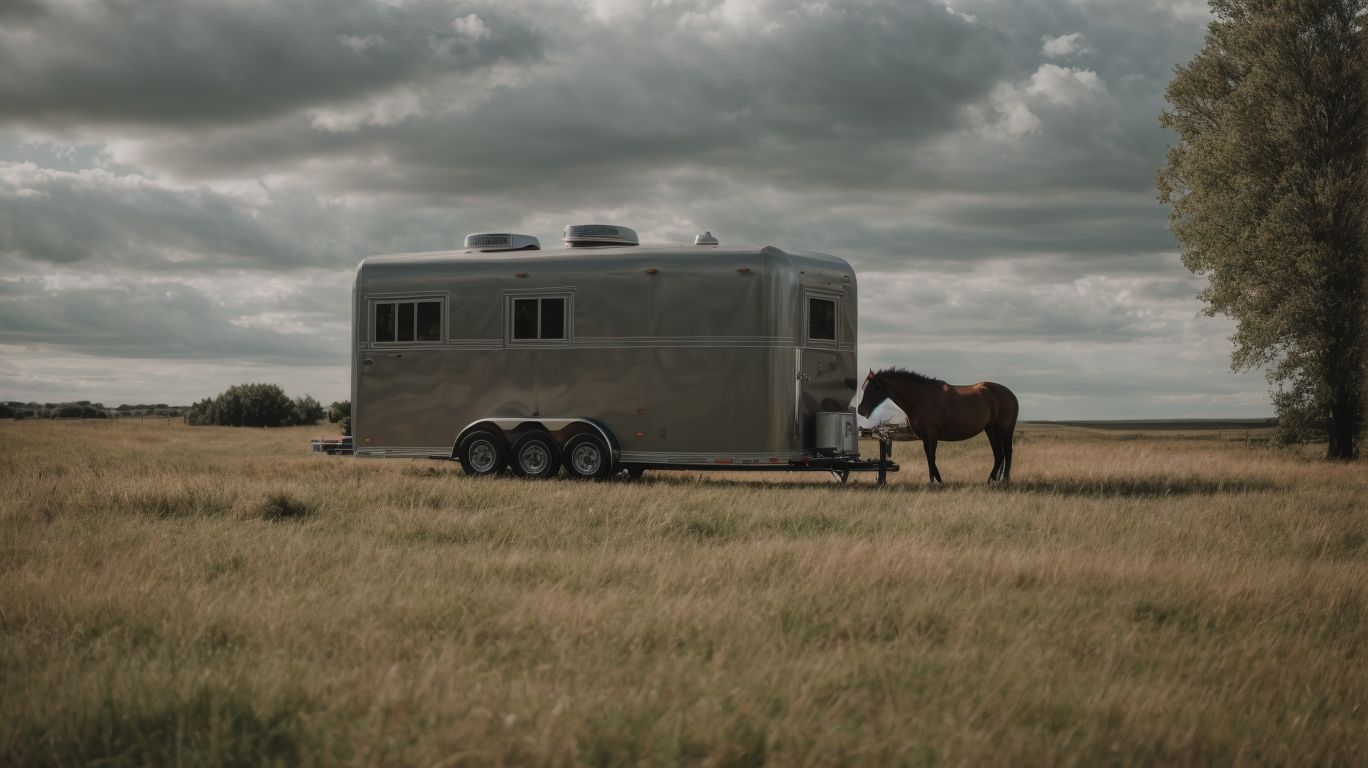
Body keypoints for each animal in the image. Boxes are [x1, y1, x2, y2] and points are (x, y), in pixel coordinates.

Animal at [857, 368, 1019, 484]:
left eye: (872, 388)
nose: (860, 410)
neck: (921, 398)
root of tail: (1010, 394)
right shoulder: (925, 437)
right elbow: (929, 458)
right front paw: (934, 481)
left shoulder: (932, 435)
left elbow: (932, 457)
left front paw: (936, 481)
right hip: (991, 429)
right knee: (999, 455)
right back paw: (991, 481)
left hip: (1005, 429)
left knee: (1007, 453)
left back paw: (1004, 481)